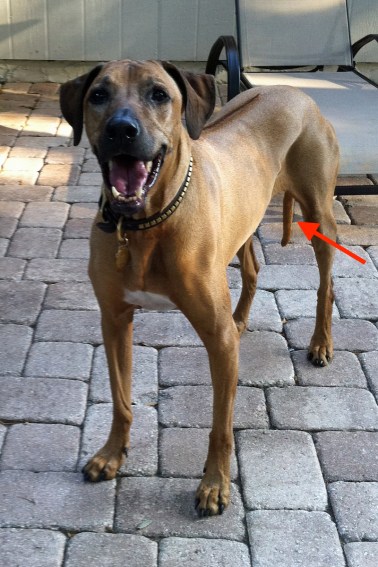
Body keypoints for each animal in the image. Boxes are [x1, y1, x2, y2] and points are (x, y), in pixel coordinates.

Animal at [60, 60, 338, 516]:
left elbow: (221, 427)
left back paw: (320, 343)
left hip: (320, 214)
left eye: (159, 94)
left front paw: (214, 485)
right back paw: (241, 318)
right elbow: (120, 400)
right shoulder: (114, 320)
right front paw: (112, 454)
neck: (146, 225)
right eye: (98, 95)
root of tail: (295, 91)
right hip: (242, 218)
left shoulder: (218, 341)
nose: (122, 130)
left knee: (325, 286)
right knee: (253, 269)